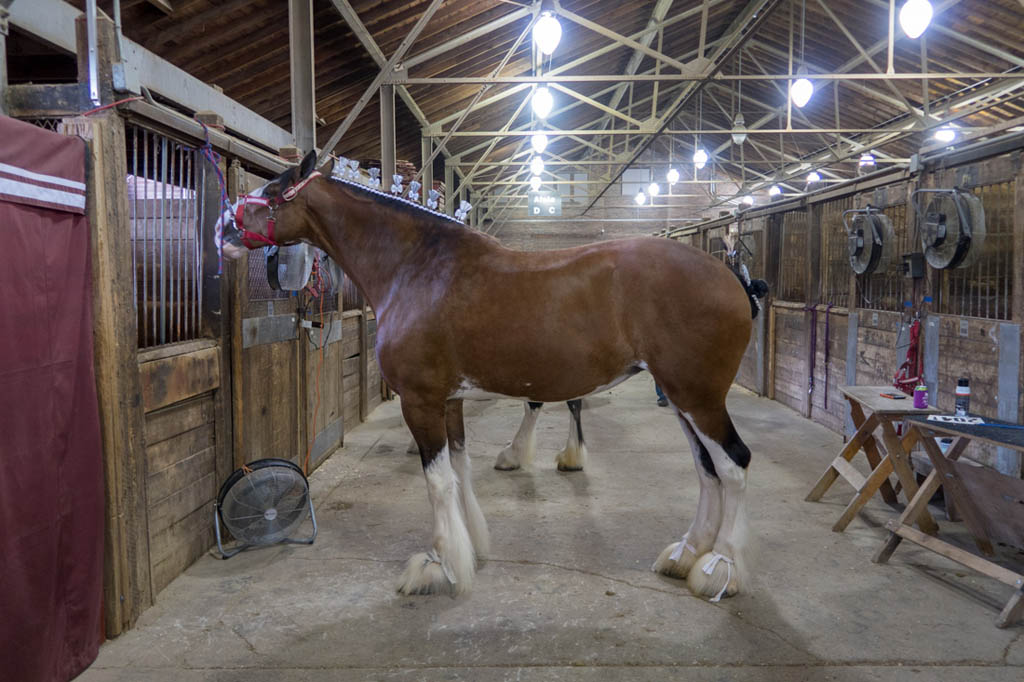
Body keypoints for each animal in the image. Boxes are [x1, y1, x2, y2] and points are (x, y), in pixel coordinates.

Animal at [220, 151, 765, 598]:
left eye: (273, 191)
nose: (223, 229)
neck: (417, 268)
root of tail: (729, 277)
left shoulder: (420, 400)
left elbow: (438, 482)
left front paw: (438, 566)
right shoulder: (450, 400)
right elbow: (460, 470)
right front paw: (474, 547)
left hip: (698, 397)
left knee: (735, 465)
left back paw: (720, 569)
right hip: (682, 399)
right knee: (706, 469)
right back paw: (686, 555)